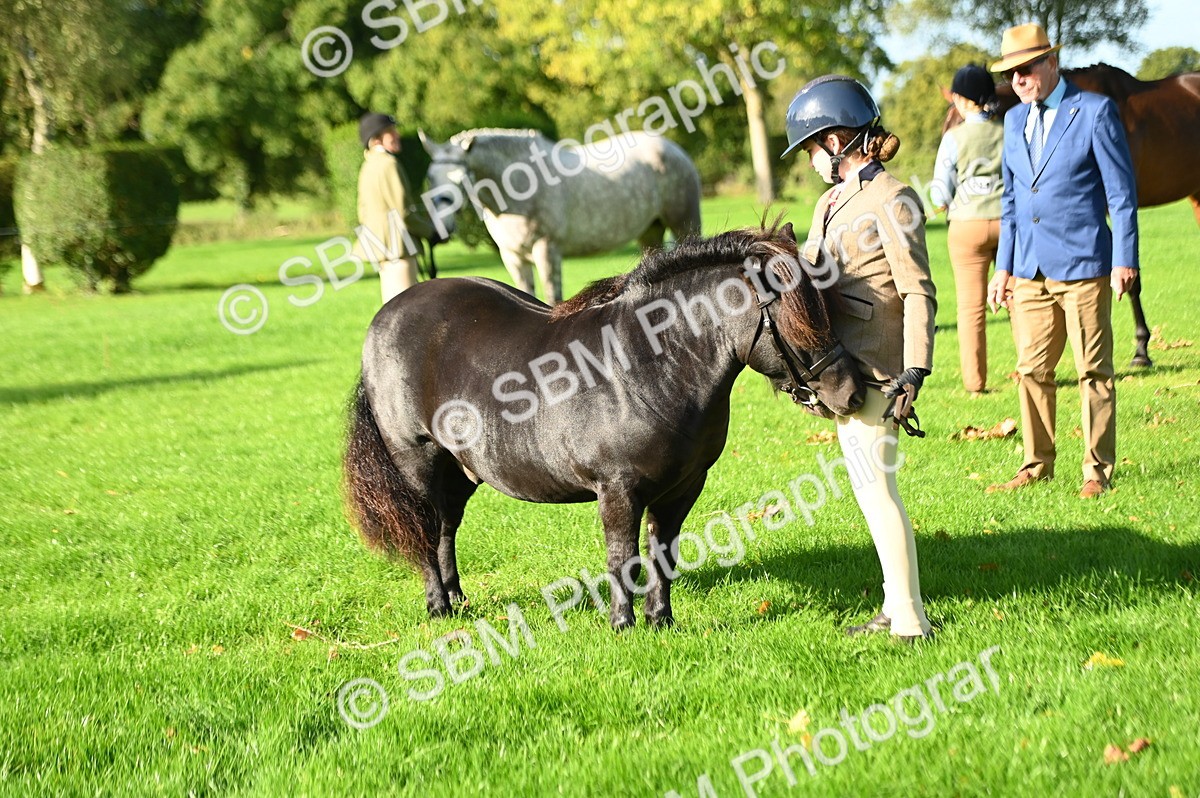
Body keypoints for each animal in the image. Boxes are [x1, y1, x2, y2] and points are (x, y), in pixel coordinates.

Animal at [342, 222, 865, 630]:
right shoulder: (618, 489)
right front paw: (623, 623)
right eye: (794, 317)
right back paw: (438, 606)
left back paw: (458, 598)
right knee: (425, 529)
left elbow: (663, 555)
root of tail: (384, 317)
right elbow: (622, 558)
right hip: (418, 462)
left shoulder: (683, 487)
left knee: (446, 528)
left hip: (460, 469)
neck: (647, 364)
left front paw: (661, 620)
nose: (851, 393)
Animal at [419, 128, 702, 305]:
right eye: (430, 176)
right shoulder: (513, 258)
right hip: (650, 231)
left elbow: (553, 297)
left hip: (683, 223)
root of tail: (674, 149)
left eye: (460, 179)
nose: (441, 229)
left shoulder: (547, 250)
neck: (522, 186)